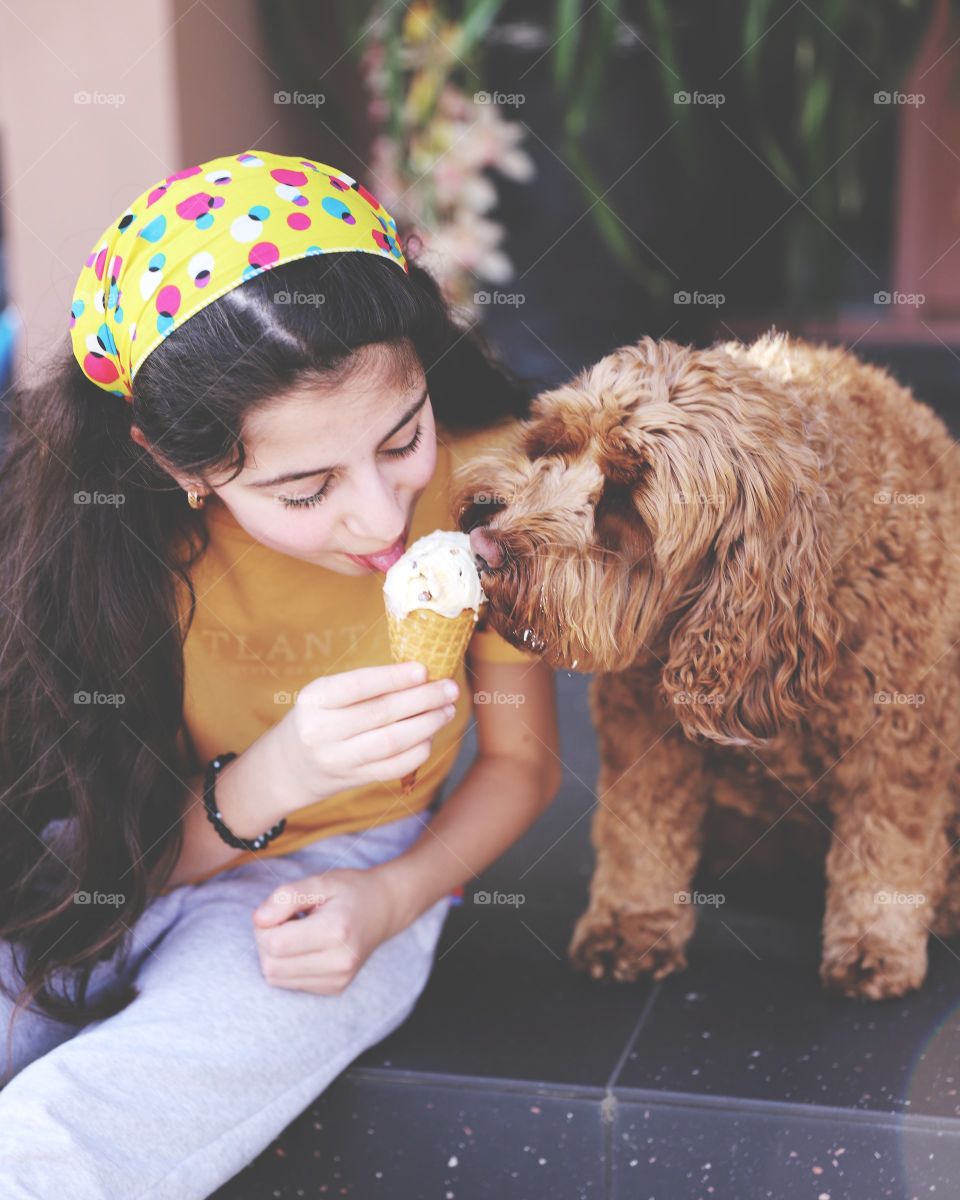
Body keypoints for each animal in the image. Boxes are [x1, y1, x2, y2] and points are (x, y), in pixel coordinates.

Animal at [453, 331, 960, 1003]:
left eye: (624, 503)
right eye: (551, 444)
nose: (482, 541)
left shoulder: (898, 740)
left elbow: (885, 841)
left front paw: (875, 943)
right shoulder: (643, 722)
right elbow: (639, 828)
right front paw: (631, 925)